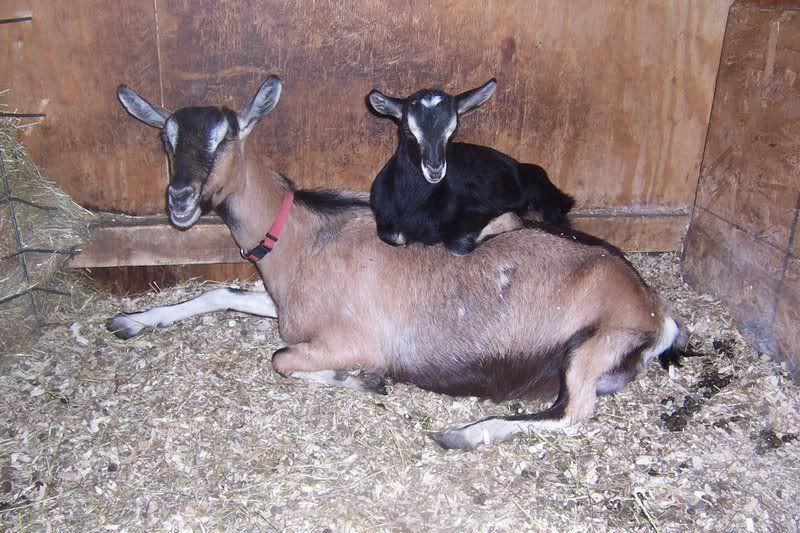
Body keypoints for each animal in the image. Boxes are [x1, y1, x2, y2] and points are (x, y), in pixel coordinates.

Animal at [368, 79, 575, 255]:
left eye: (453, 132)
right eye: (407, 131)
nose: (435, 170)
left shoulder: (479, 209)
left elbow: (457, 243)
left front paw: (512, 220)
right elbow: (393, 236)